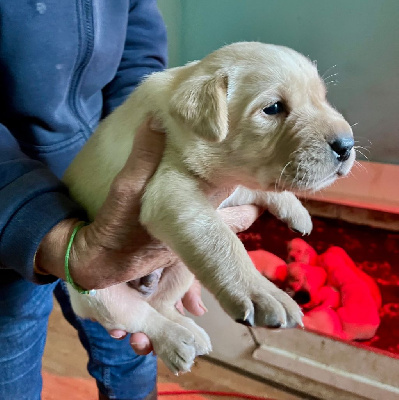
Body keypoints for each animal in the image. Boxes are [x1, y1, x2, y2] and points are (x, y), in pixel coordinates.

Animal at [64, 42, 358, 374]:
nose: (346, 145)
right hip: (98, 292)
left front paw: (295, 211)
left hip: (181, 269)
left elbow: (253, 187)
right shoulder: (170, 193)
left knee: (160, 304)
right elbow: (221, 241)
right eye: (273, 108)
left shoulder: (229, 184)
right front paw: (262, 293)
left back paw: (191, 332)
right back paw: (177, 343)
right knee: (141, 317)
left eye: (322, 98)